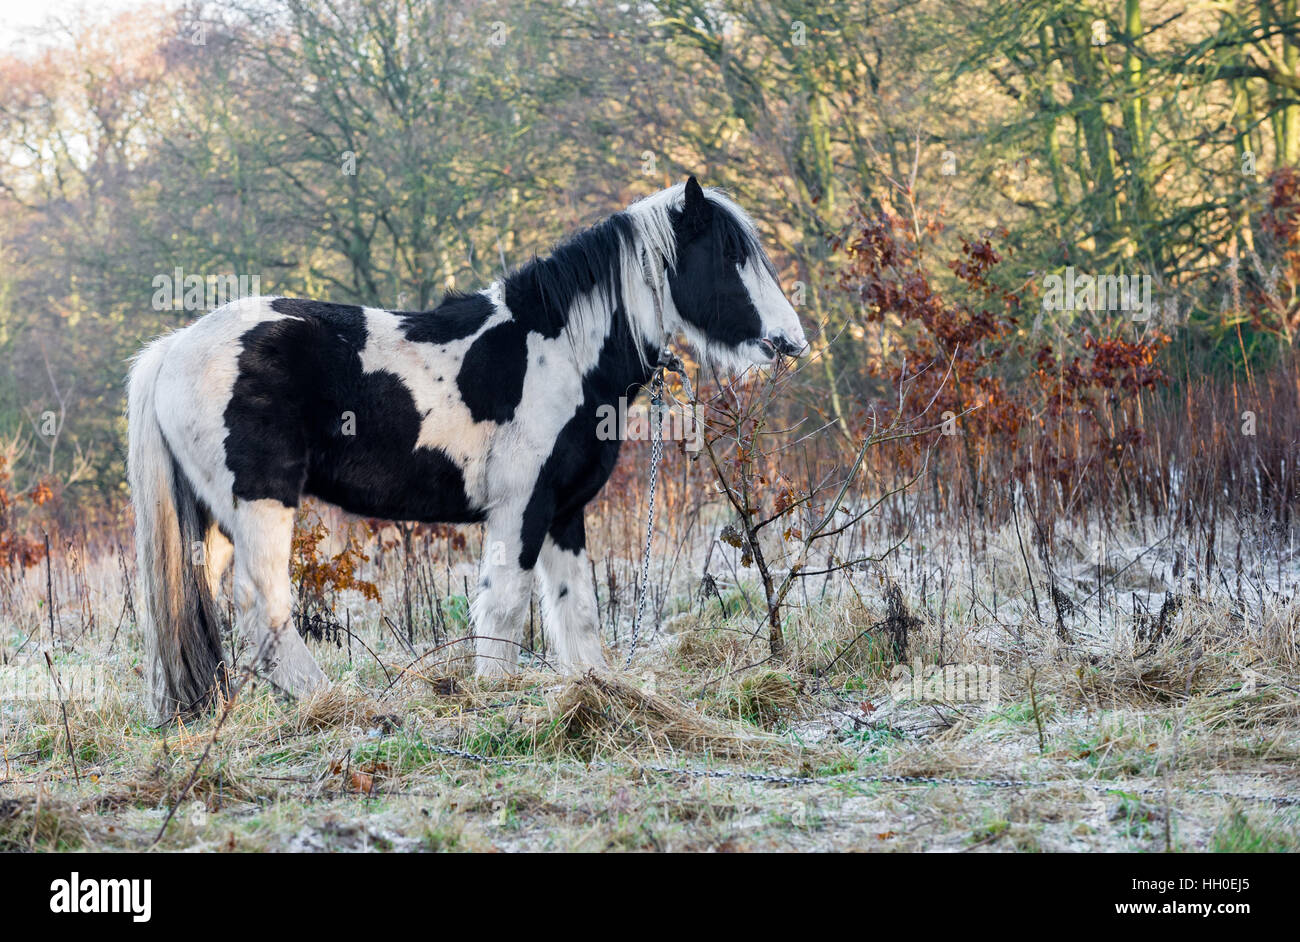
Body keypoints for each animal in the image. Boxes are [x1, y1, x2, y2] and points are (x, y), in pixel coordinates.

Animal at [129, 178, 800, 722]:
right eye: (731, 257)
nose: (791, 341)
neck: (561, 352)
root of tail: (175, 347)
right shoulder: (520, 509)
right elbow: (504, 610)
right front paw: (494, 698)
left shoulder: (563, 514)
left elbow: (576, 614)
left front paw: (598, 692)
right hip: (261, 503)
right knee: (261, 605)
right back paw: (336, 704)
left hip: (215, 520)